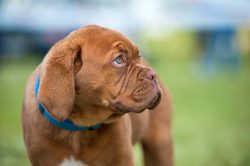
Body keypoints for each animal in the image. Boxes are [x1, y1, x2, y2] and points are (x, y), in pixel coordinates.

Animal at [22, 25, 173, 166]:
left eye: (138, 57)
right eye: (119, 60)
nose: (153, 74)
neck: (79, 128)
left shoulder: (122, 159)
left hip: (160, 143)